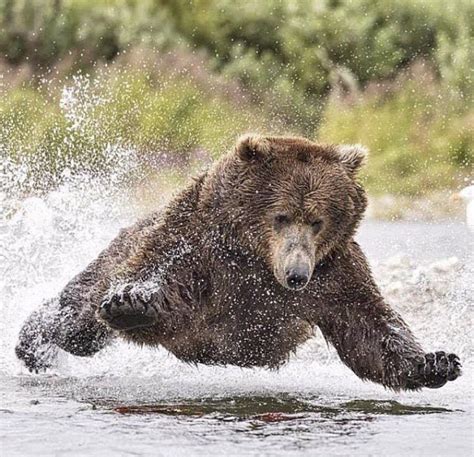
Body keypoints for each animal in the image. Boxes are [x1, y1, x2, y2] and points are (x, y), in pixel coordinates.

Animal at [16, 134, 462, 388]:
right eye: (281, 215)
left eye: (317, 220)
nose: (296, 275)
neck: (255, 256)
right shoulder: (199, 243)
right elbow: (162, 281)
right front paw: (131, 302)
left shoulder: (334, 270)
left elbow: (368, 327)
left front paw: (437, 362)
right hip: (116, 256)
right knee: (77, 322)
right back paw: (32, 345)